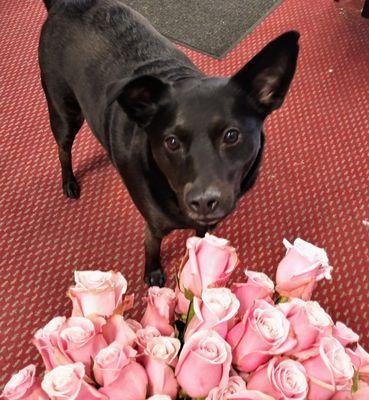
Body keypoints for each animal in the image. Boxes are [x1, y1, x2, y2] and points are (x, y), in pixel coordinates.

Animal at [39, 0, 300, 288]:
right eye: (171, 142)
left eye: (232, 135)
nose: (203, 202)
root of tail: (65, 4)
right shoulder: (154, 226)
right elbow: (152, 248)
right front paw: (153, 273)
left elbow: (200, 235)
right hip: (64, 111)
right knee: (63, 149)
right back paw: (69, 182)